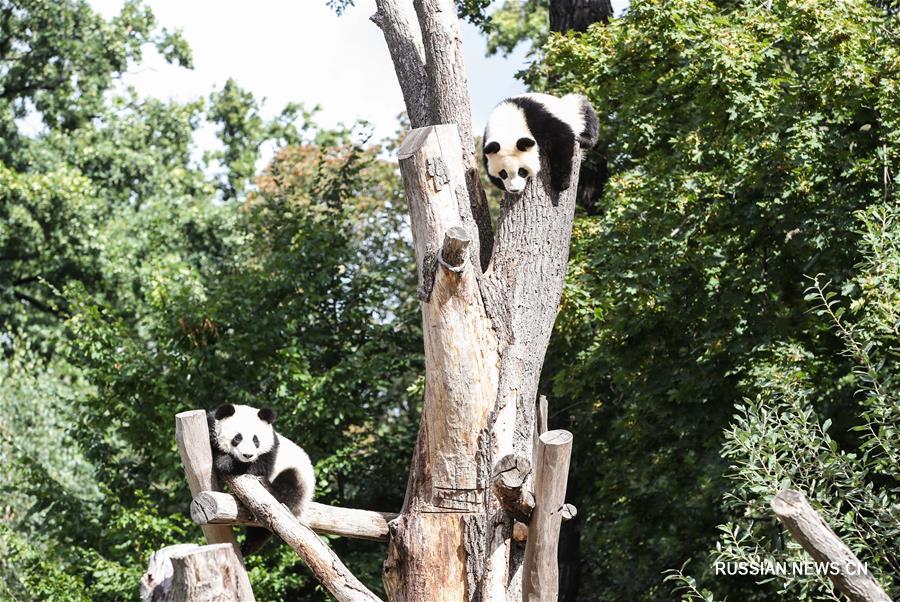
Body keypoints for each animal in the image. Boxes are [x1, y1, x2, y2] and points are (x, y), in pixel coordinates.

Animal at [207, 404, 316, 552]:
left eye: (255, 440)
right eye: (237, 438)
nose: (247, 455)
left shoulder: (270, 451)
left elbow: (256, 467)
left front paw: (223, 461)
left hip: (299, 474)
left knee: (290, 488)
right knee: (262, 529)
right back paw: (248, 547)